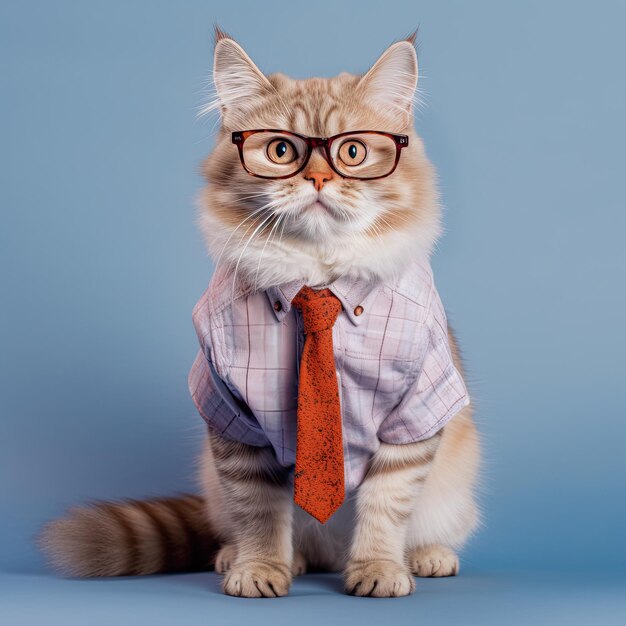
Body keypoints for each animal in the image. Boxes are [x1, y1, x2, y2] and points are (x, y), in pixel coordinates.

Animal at [37, 28, 478, 596]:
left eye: (352, 151)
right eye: (281, 149)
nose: (318, 180)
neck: (317, 281)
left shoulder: (414, 411)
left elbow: (386, 503)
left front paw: (378, 568)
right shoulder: (233, 412)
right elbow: (259, 509)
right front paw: (261, 569)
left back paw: (425, 556)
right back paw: (251, 558)